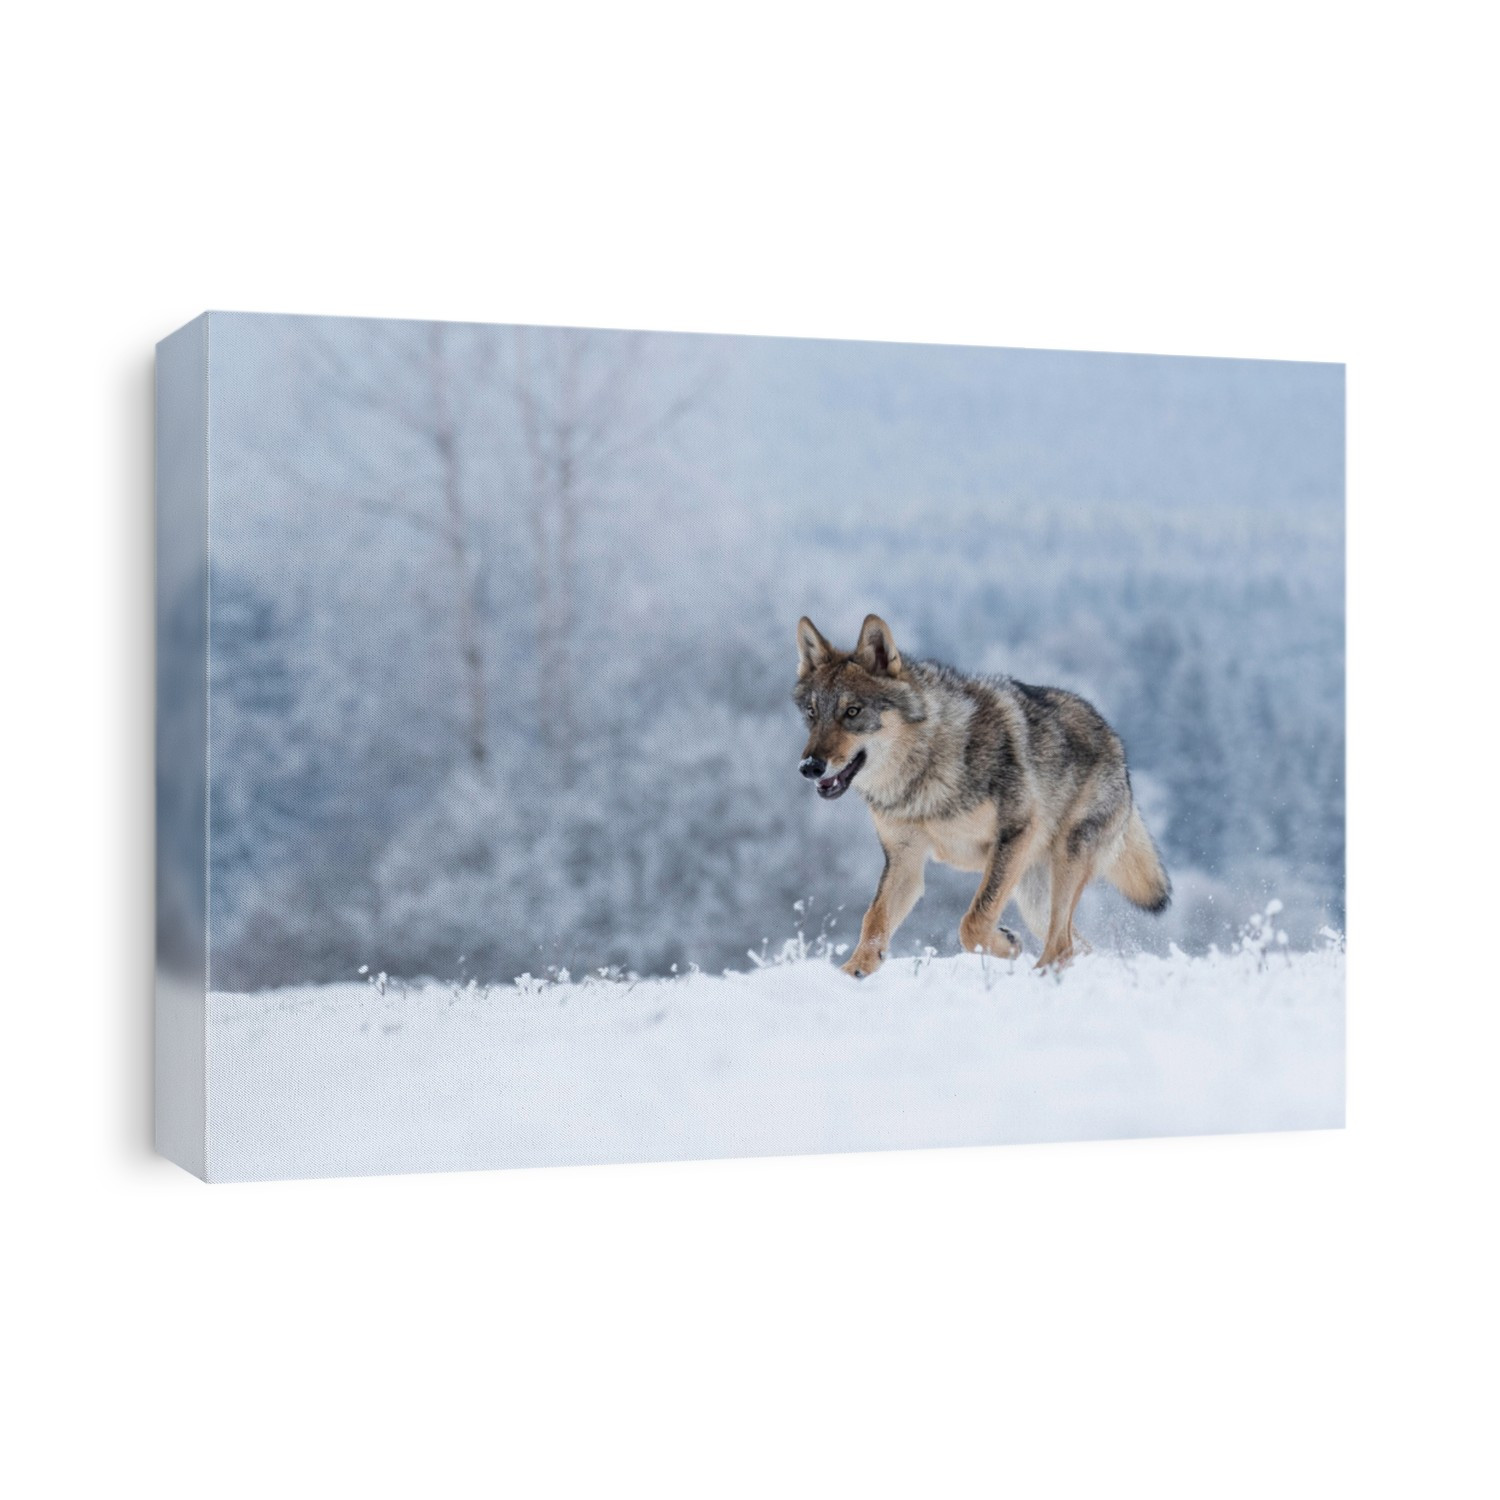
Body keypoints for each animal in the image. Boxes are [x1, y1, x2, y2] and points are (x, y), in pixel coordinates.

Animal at [794, 614, 1170, 976]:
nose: (809, 766)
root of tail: (1115, 741)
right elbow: (873, 919)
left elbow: (973, 922)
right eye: (812, 713)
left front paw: (1008, 945)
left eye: (852, 712)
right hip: (1034, 897)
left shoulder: (1013, 833)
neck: (925, 768)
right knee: (1077, 944)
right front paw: (853, 973)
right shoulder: (904, 860)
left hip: (1065, 860)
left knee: (1062, 944)